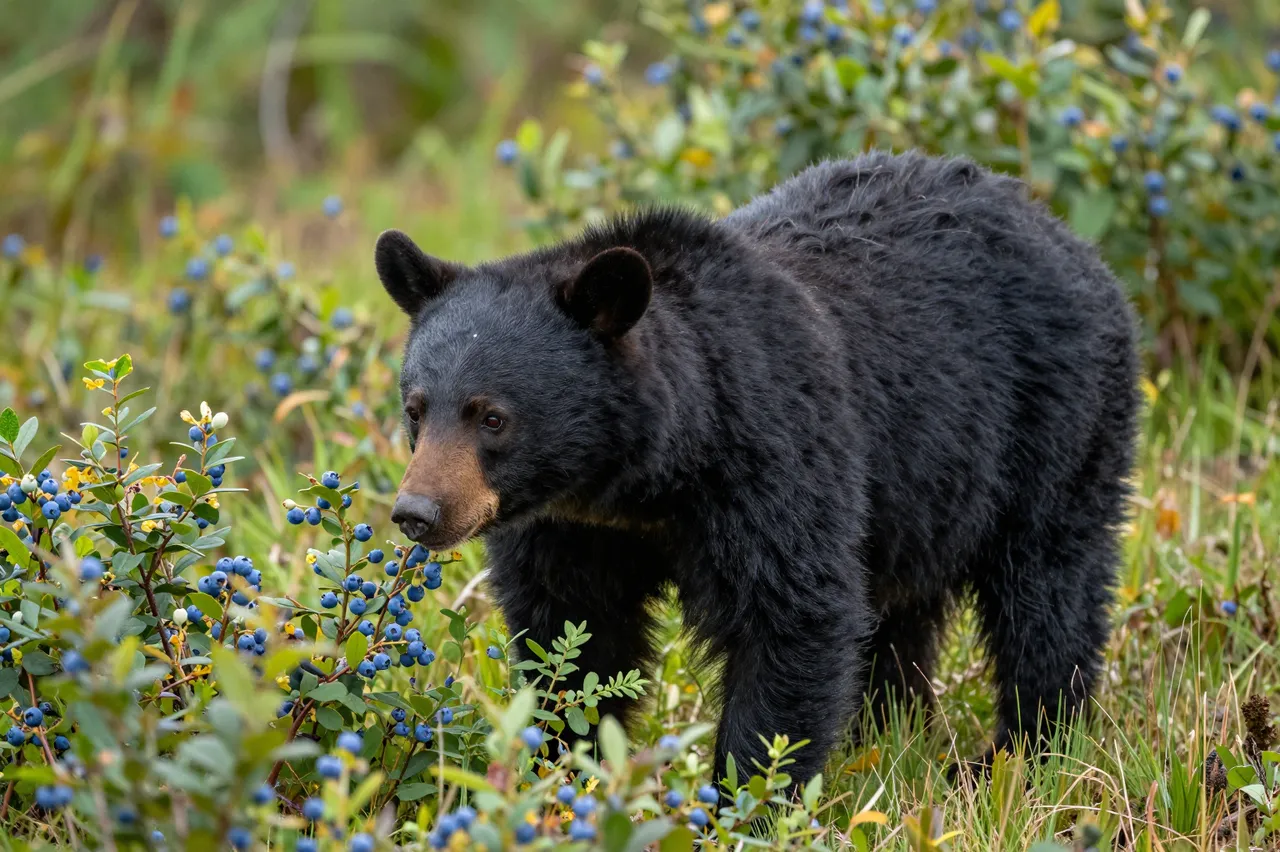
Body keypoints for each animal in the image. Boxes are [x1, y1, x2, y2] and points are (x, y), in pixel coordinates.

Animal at [375, 150, 1140, 788]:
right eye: (416, 408)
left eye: (492, 417)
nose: (418, 513)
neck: (643, 479)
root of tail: (1069, 237)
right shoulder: (570, 528)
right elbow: (573, 634)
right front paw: (563, 771)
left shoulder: (772, 459)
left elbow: (793, 616)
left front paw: (746, 800)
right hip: (926, 493)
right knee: (903, 616)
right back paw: (888, 734)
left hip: (1054, 423)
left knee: (1048, 590)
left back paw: (1019, 755)